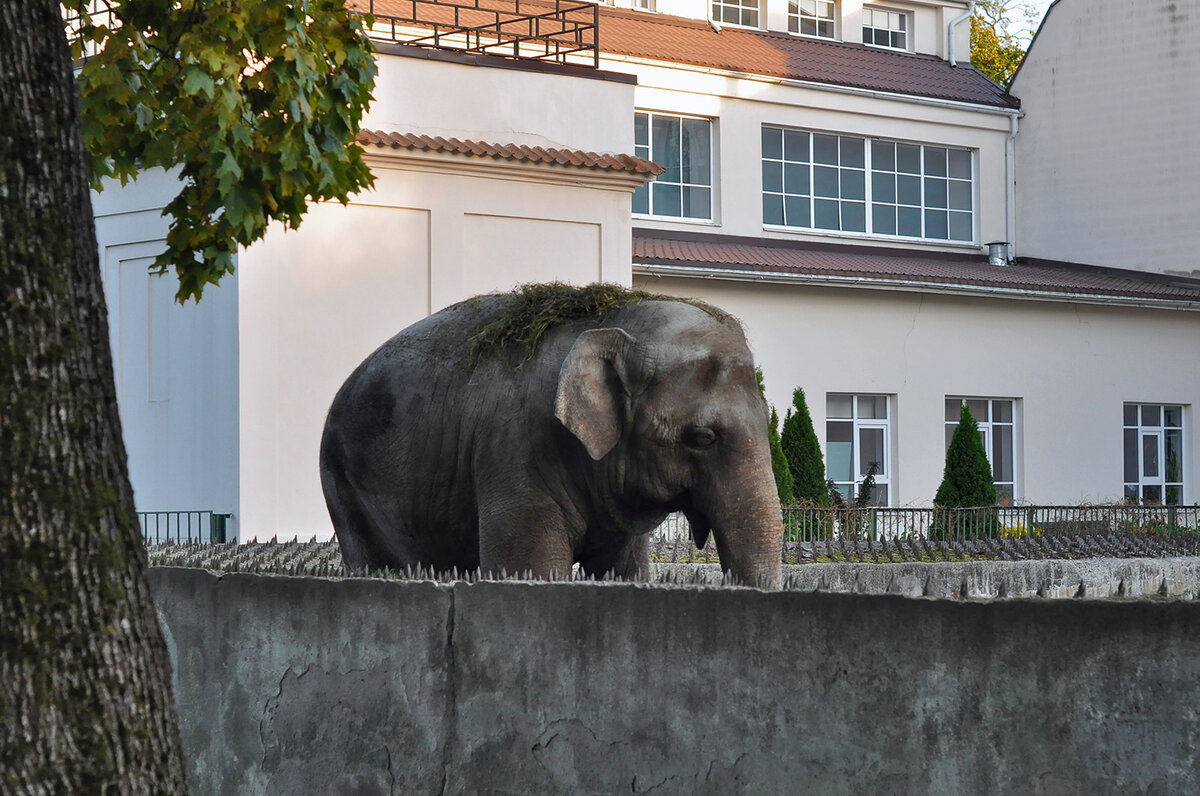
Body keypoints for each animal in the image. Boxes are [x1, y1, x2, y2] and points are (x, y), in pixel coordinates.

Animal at [321, 283, 787, 588]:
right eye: (702, 438)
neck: (611, 325)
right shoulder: (513, 450)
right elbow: (528, 568)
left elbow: (625, 570)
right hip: (342, 484)